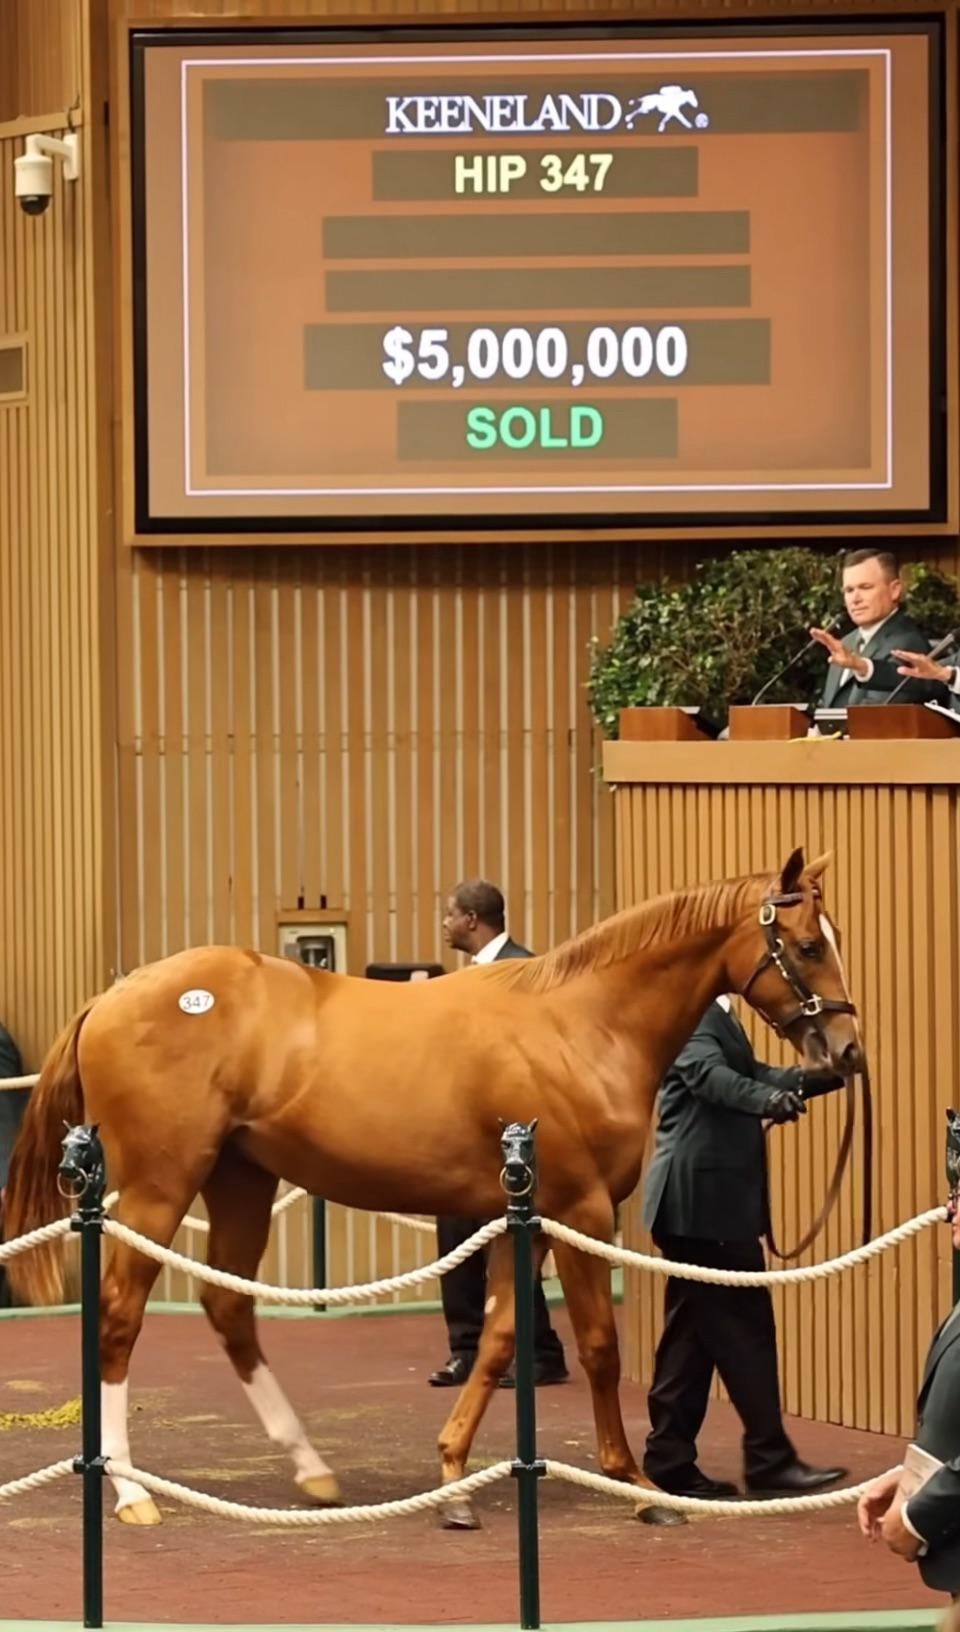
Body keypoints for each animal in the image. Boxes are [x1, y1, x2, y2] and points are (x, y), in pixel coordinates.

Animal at [4, 848, 862, 1530]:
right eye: (807, 945)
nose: (847, 1052)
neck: (579, 1023)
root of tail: (114, 997)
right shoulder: (581, 1212)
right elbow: (598, 1345)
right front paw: (637, 1485)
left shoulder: (529, 1220)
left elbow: (500, 1339)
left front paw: (453, 1477)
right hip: (160, 1186)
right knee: (120, 1316)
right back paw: (127, 1491)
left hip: (241, 1178)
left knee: (227, 1307)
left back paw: (313, 1470)